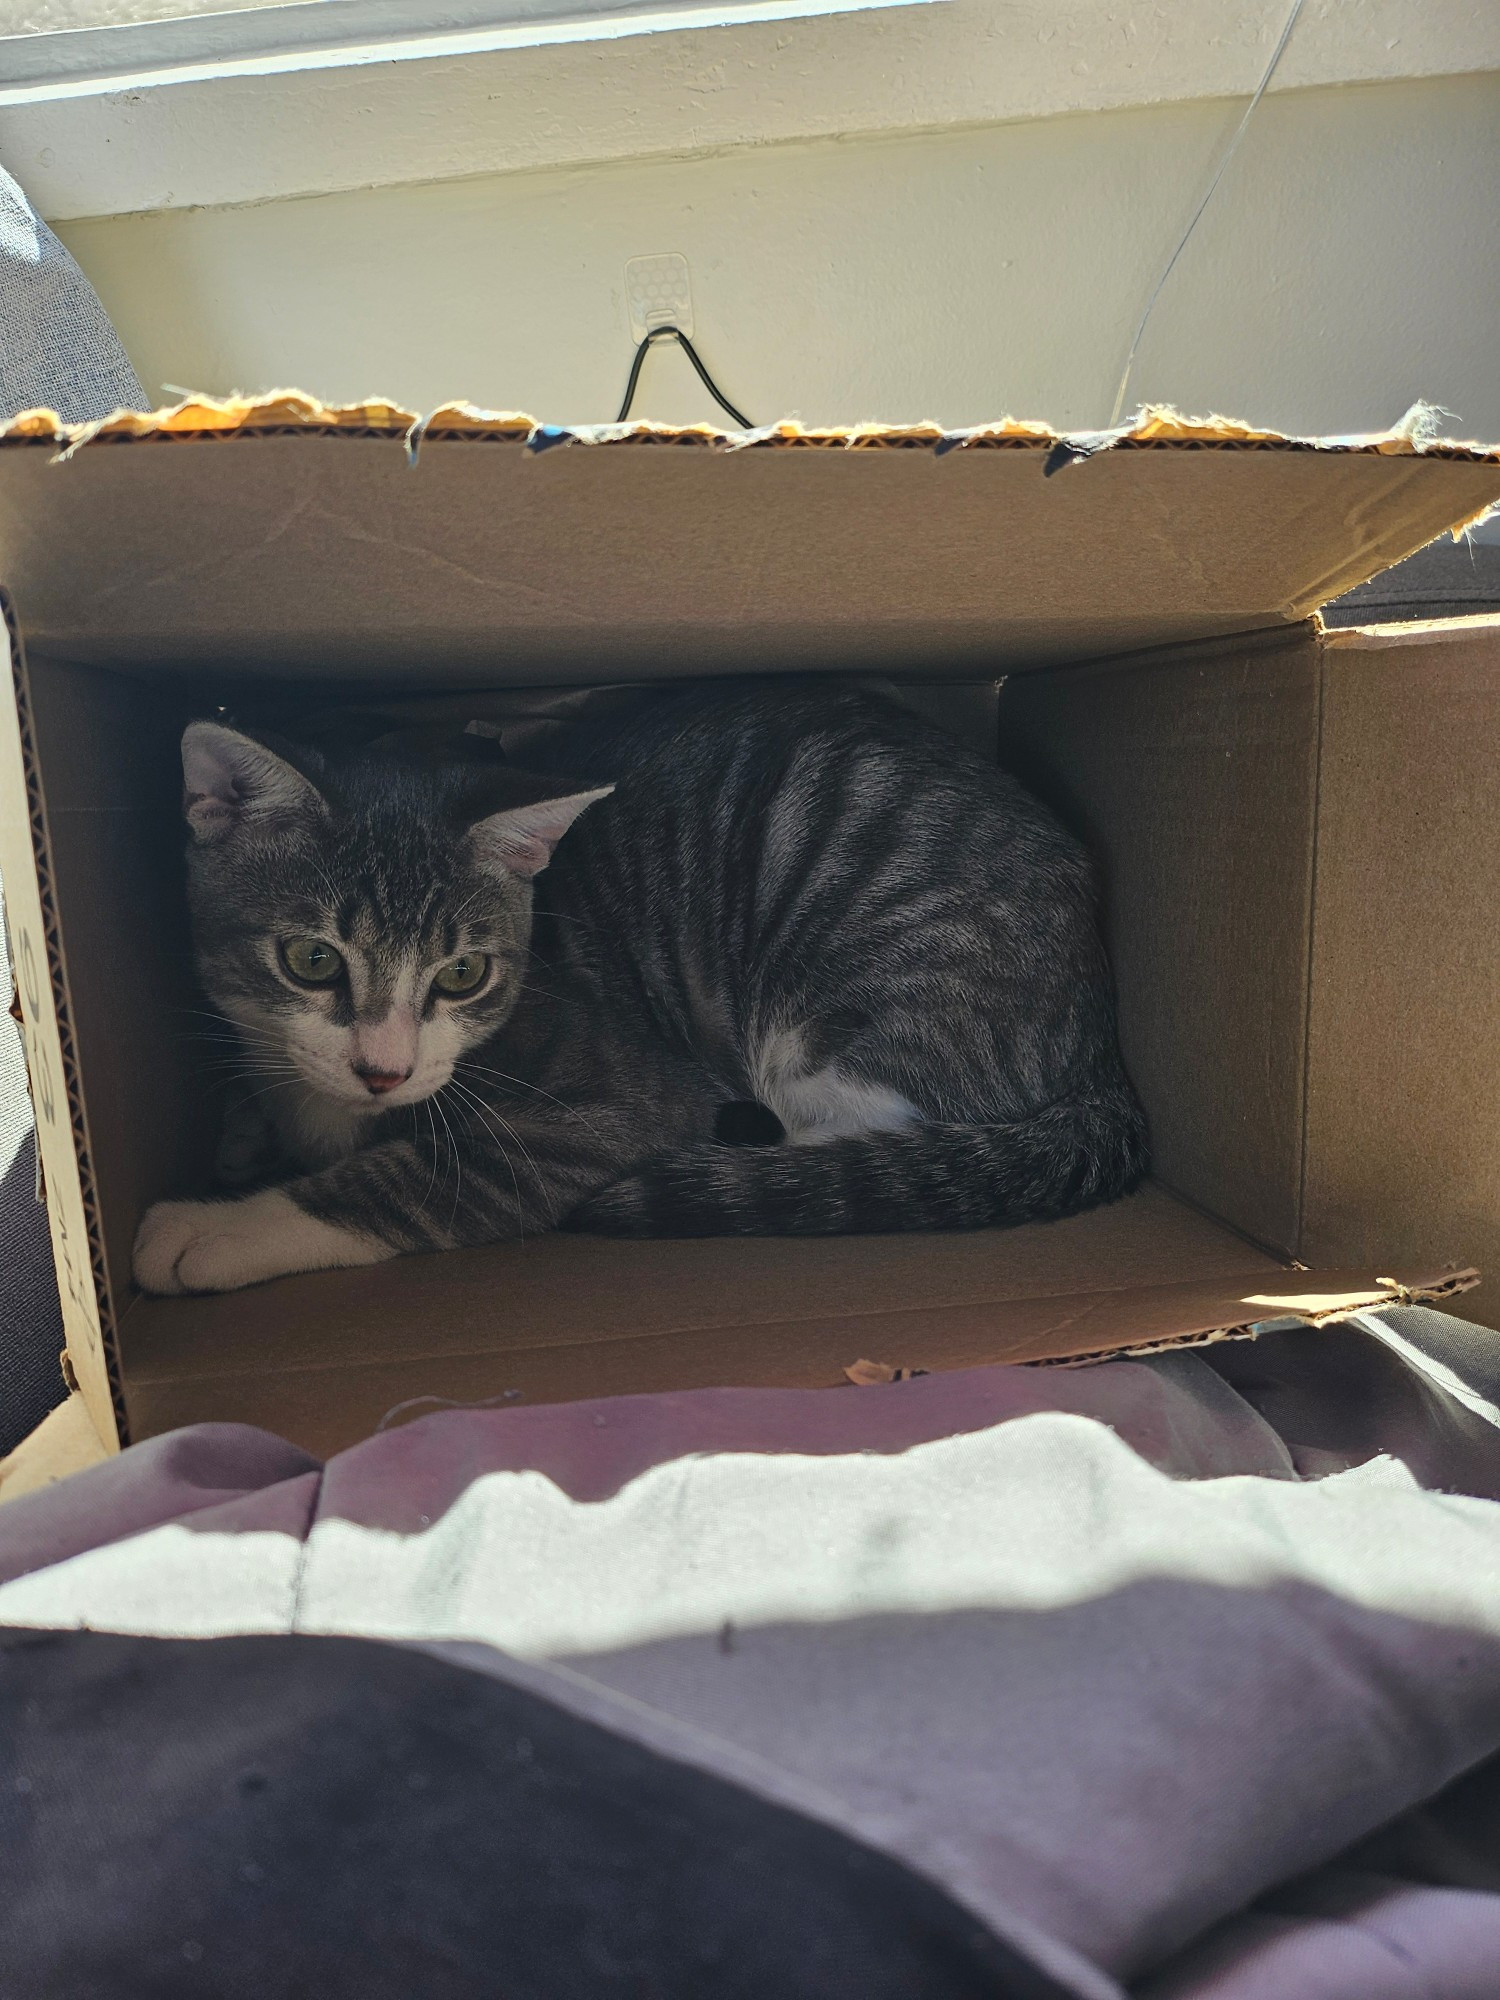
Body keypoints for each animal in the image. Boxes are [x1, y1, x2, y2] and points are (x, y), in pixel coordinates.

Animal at [135, 680, 1144, 1288]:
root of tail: (1102, 1046)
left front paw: (215, 1230)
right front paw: (242, 1139)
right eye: (312, 960)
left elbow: (419, 1178)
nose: (383, 1070)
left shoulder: (615, 1103)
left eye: (462, 974)